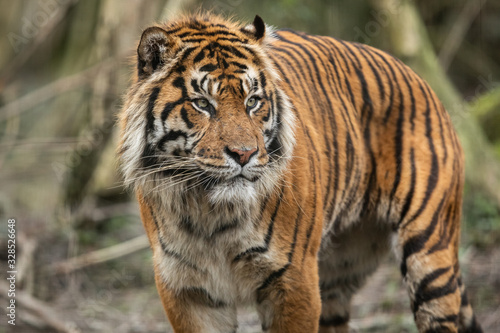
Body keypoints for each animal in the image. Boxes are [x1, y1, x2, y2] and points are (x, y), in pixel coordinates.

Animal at [118, 13, 484, 332]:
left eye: (253, 101)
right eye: (202, 104)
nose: (244, 154)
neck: (212, 215)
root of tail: (420, 78)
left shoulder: (293, 279)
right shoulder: (187, 289)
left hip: (430, 257)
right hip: (338, 271)